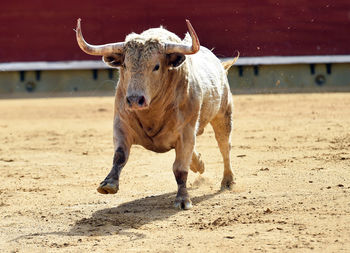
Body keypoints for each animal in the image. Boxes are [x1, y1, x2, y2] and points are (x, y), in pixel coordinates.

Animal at [75, 18, 237, 210]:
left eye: (156, 66)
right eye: (125, 65)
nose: (135, 100)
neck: (153, 112)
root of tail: (219, 65)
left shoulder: (186, 132)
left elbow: (180, 168)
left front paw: (183, 199)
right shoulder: (121, 124)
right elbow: (120, 155)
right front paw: (109, 184)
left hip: (223, 114)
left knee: (224, 146)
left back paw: (228, 181)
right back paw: (200, 164)